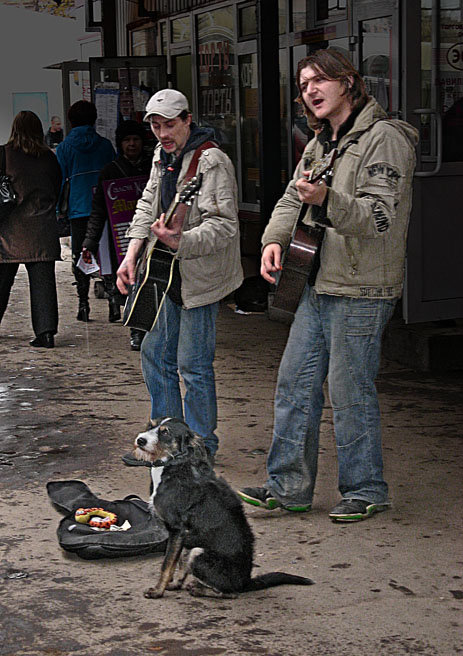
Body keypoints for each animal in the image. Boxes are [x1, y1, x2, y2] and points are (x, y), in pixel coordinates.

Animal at [134, 418, 316, 596]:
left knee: (228, 593)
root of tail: (246, 582)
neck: (176, 465)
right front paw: (170, 586)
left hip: (199, 553)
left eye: (165, 432)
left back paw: (198, 589)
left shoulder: (177, 530)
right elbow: (177, 564)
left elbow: (166, 565)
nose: (140, 440)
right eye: (150, 426)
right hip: (192, 547)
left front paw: (158, 591)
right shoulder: (181, 536)